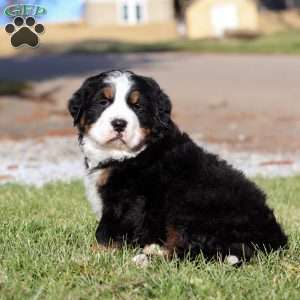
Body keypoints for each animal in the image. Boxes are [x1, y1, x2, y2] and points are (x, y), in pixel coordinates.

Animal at [68, 69, 286, 264]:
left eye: (138, 107)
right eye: (103, 102)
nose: (119, 123)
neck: (126, 154)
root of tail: (276, 240)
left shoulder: (126, 200)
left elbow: (106, 233)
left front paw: (88, 254)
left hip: (192, 205)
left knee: (190, 251)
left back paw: (146, 257)